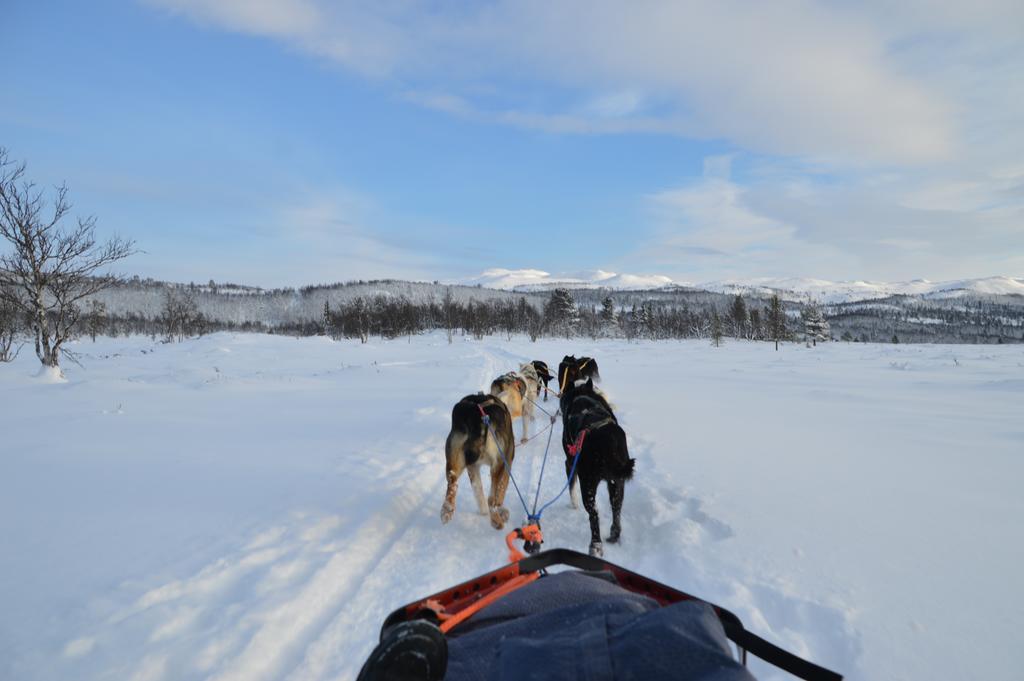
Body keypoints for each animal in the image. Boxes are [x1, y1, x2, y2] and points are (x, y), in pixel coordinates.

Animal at [442, 393, 520, 532]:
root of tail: (475, 415)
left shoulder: (473, 467)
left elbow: (477, 490)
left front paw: (483, 511)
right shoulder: (507, 462)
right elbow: (501, 490)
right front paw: (502, 511)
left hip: (455, 460)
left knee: (452, 482)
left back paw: (447, 510)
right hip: (498, 464)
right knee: (491, 499)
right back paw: (496, 521)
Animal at [561, 374, 630, 557]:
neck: (582, 399)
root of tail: (608, 440)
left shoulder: (570, 464)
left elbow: (571, 488)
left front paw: (573, 505)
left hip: (588, 483)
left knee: (594, 514)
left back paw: (595, 545)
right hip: (617, 483)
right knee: (616, 508)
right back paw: (614, 535)